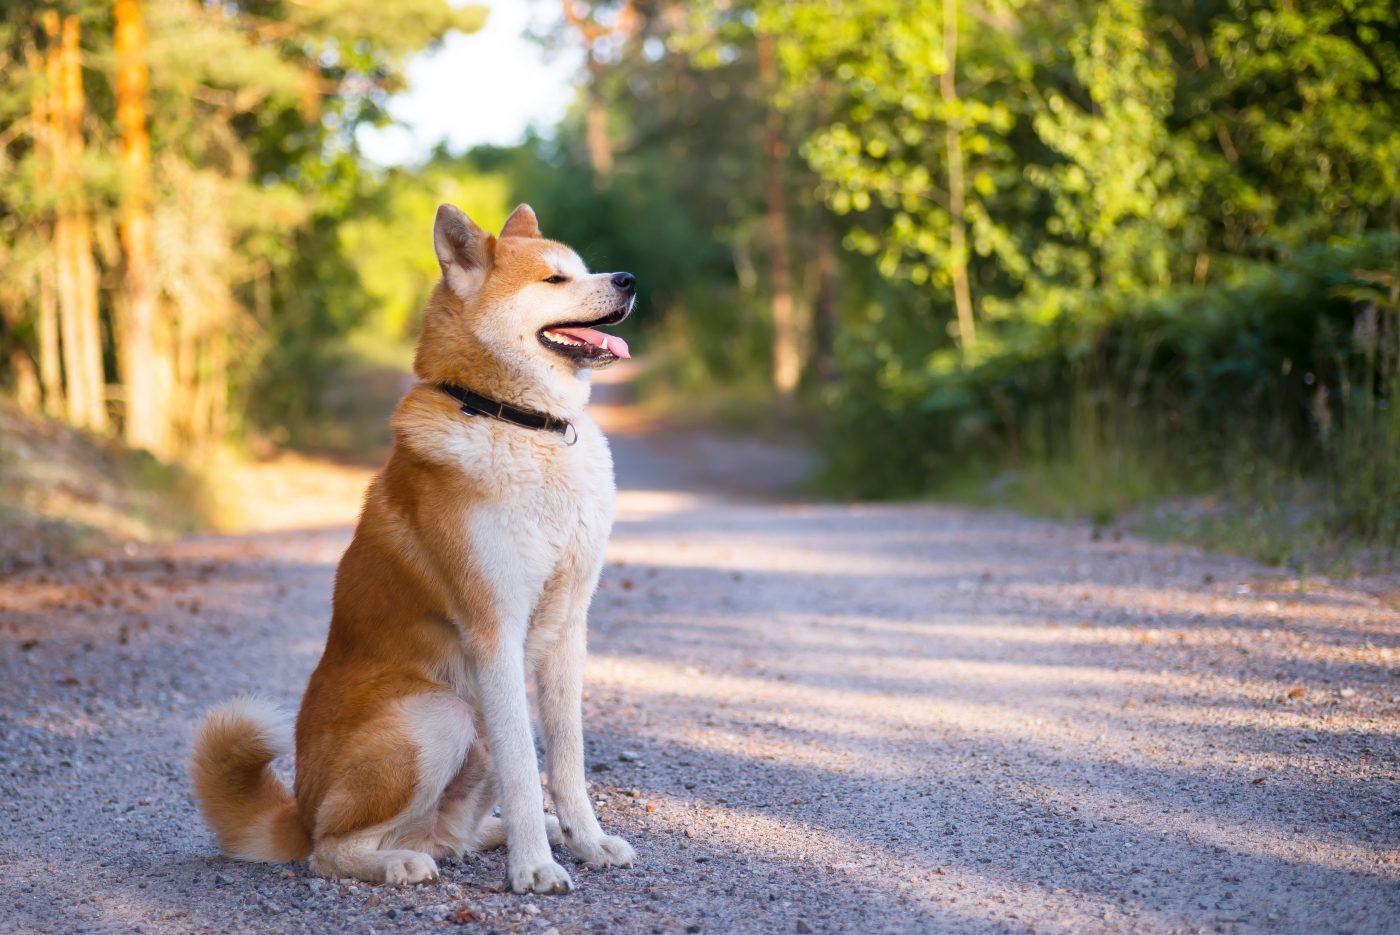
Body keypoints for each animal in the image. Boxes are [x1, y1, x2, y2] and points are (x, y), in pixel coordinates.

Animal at [189, 202, 638, 890]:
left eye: (584, 268)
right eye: (554, 279)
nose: (629, 279)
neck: (517, 421)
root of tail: (298, 811)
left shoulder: (568, 627)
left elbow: (565, 762)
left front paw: (584, 841)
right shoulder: (494, 631)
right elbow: (524, 766)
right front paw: (535, 868)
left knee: (452, 835)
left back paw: (492, 836)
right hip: (439, 717)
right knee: (330, 850)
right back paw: (401, 861)